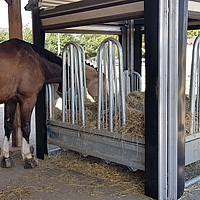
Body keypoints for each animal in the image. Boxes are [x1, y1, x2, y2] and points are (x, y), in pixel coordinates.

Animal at [0, 38, 100, 169]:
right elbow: (26, 127)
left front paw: (6, 158)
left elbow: (8, 126)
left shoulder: (10, 101)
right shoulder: (28, 99)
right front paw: (28, 158)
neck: (37, 62)